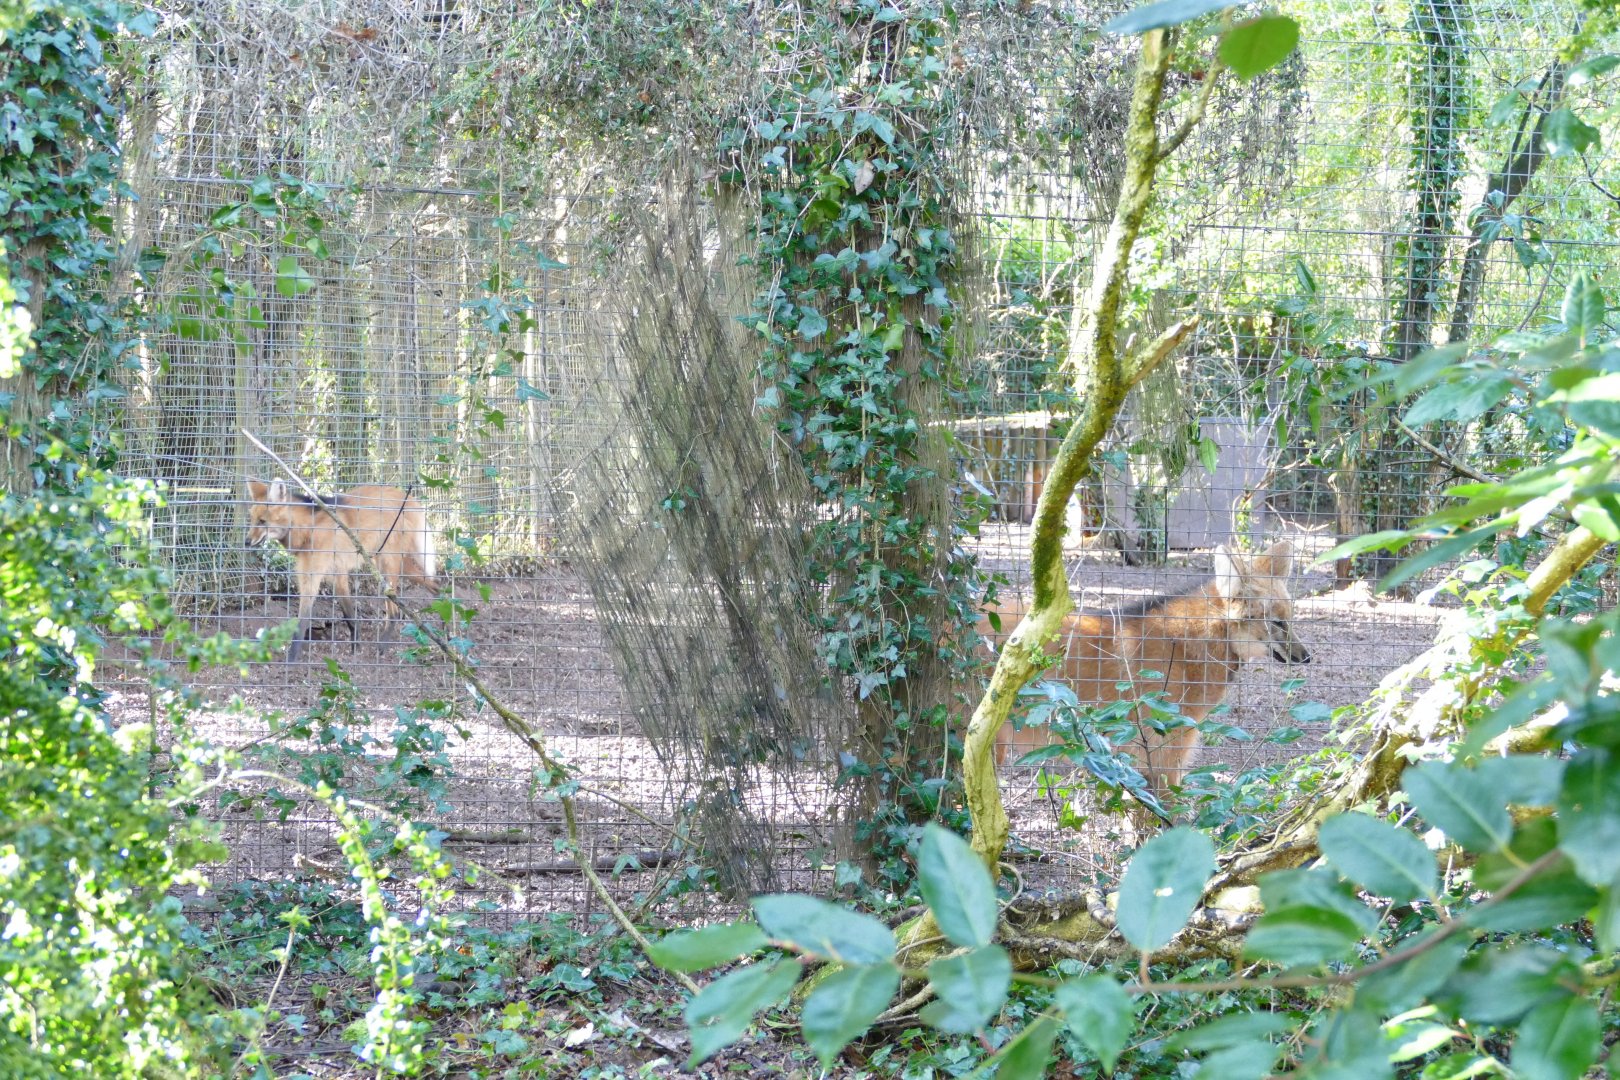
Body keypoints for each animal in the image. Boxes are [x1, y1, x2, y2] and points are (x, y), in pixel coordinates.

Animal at [244, 479, 436, 662]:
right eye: (252, 520)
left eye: (262, 522)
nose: (246, 542)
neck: (308, 530)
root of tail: (408, 497)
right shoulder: (335, 574)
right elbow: (350, 616)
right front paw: (356, 647)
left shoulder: (314, 576)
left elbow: (302, 621)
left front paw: (291, 660)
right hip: (385, 562)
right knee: (435, 584)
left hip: (386, 565)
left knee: (395, 612)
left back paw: (382, 646)